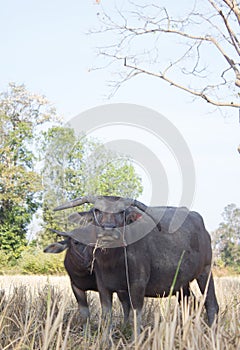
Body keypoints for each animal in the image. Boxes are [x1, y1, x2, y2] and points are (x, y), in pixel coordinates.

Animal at [53, 196, 219, 332]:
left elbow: (135, 317)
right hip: (182, 284)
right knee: (189, 304)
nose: (108, 229)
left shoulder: (137, 285)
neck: (113, 262)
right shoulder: (104, 287)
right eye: (97, 210)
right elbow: (107, 317)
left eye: (122, 212)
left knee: (211, 304)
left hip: (205, 272)